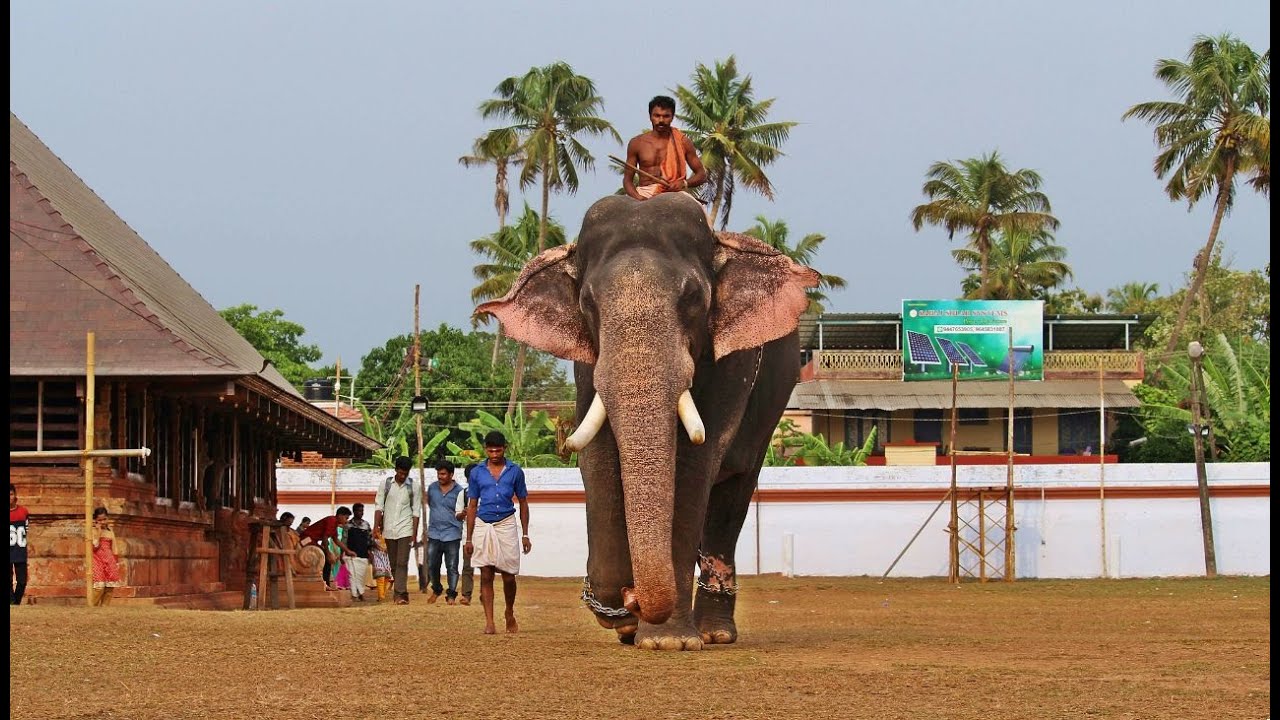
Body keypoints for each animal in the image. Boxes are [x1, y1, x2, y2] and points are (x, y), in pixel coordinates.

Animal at [476, 192, 814, 650]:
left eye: (693, 297)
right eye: (587, 302)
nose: (632, 600)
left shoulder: (730, 365)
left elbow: (693, 465)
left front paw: (668, 640)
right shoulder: (588, 363)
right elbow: (597, 459)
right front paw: (621, 616)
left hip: (772, 405)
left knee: (733, 493)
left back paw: (714, 633)